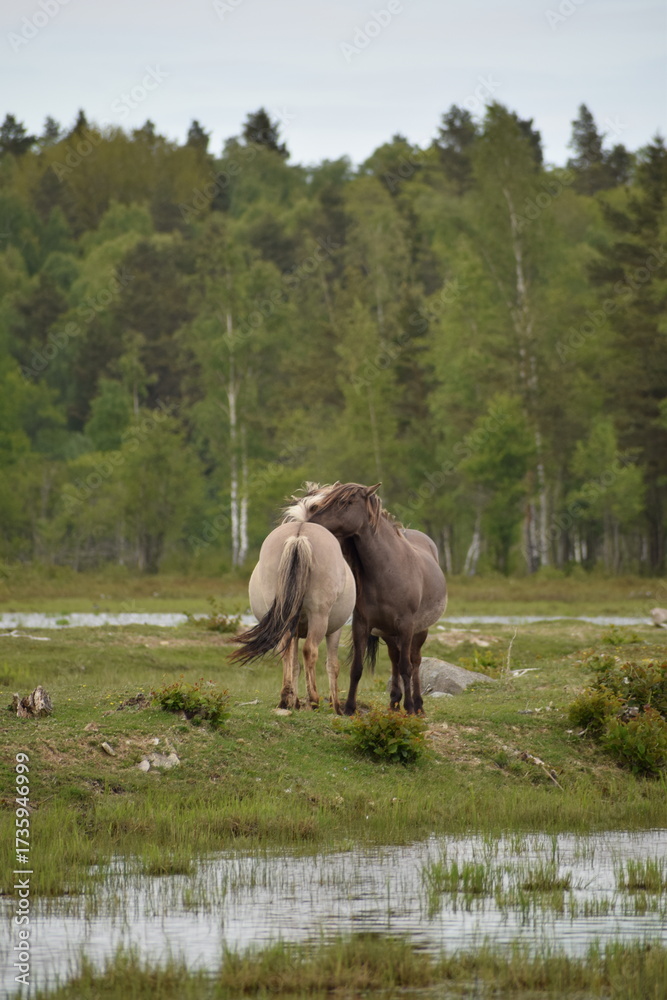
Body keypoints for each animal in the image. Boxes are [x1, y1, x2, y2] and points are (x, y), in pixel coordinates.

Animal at [231, 521, 356, 713]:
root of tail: (299, 534)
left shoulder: (295, 632)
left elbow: (295, 664)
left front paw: (295, 701)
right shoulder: (335, 631)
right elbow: (332, 666)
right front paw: (336, 707)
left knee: (286, 650)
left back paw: (285, 698)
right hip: (319, 616)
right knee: (310, 650)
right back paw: (313, 700)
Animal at [283, 483, 447, 715]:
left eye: (346, 502)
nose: (311, 521)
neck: (388, 570)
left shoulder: (406, 625)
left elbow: (407, 667)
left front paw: (409, 708)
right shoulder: (362, 624)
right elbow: (357, 668)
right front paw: (350, 707)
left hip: (419, 630)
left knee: (414, 661)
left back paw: (417, 704)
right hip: (388, 632)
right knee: (395, 658)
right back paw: (394, 702)